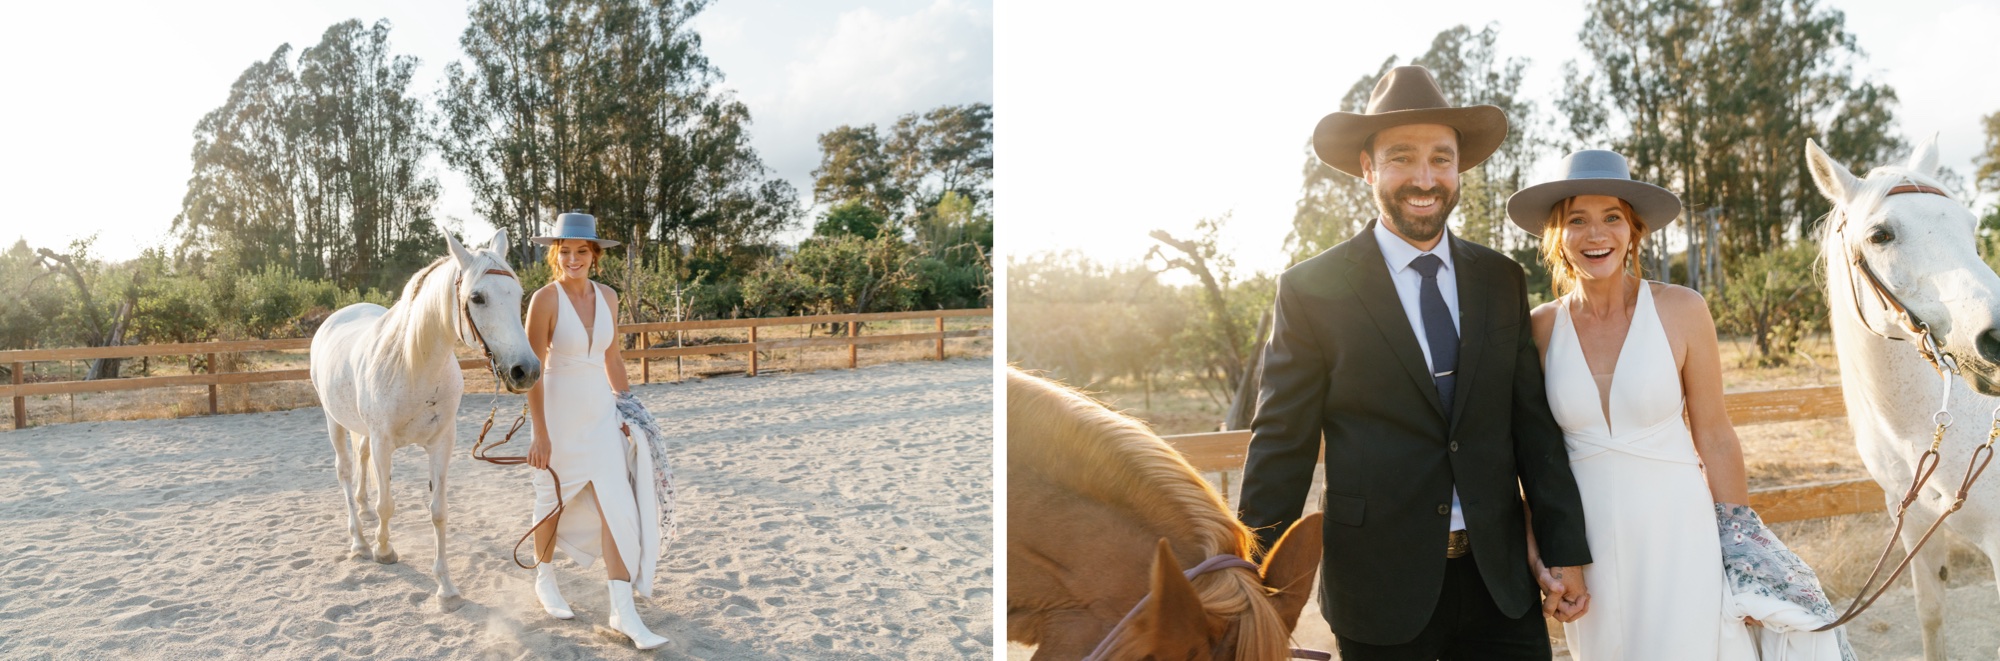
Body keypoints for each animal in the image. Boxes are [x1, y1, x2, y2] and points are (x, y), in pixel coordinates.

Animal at [308, 229, 540, 612]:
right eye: (477, 297)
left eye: (519, 294)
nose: (527, 370)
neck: (412, 364)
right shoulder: (384, 442)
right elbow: (388, 504)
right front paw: (384, 550)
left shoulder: (441, 443)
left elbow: (438, 512)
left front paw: (446, 588)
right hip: (333, 421)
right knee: (344, 470)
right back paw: (359, 541)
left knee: (361, 460)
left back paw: (363, 511)